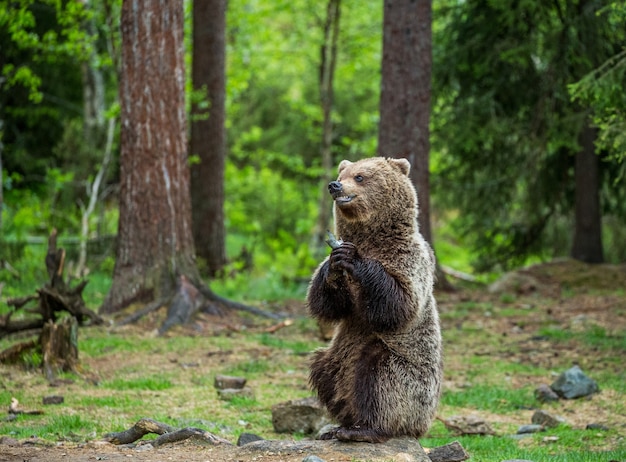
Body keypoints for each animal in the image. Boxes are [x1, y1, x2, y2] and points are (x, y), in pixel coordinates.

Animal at [304, 156, 442, 444]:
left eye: (360, 176)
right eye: (341, 174)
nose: (334, 186)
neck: (372, 238)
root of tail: (423, 426)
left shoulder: (410, 260)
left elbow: (398, 303)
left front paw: (350, 256)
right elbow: (327, 302)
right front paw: (335, 261)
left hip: (412, 381)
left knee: (379, 376)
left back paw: (364, 429)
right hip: (336, 358)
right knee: (324, 371)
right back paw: (339, 425)